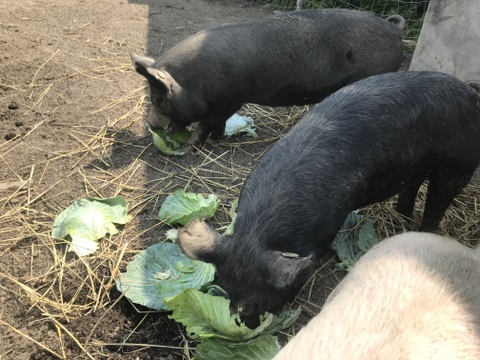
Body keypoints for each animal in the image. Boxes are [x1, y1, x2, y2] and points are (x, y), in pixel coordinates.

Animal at [131, 8, 404, 152]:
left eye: (159, 99)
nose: (151, 124)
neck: (195, 81)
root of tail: (394, 29)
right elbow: (217, 124)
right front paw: (220, 139)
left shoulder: (229, 99)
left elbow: (205, 124)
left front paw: (187, 149)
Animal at [176, 71, 480, 328]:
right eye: (227, 288)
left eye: (268, 293)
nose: (246, 322)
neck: (259, 230)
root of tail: (469, 92)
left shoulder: (331, 219)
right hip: (417, 165)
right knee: (412, 187)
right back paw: (403, 215)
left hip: (459, 165)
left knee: (438, 202)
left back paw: (422, 230)